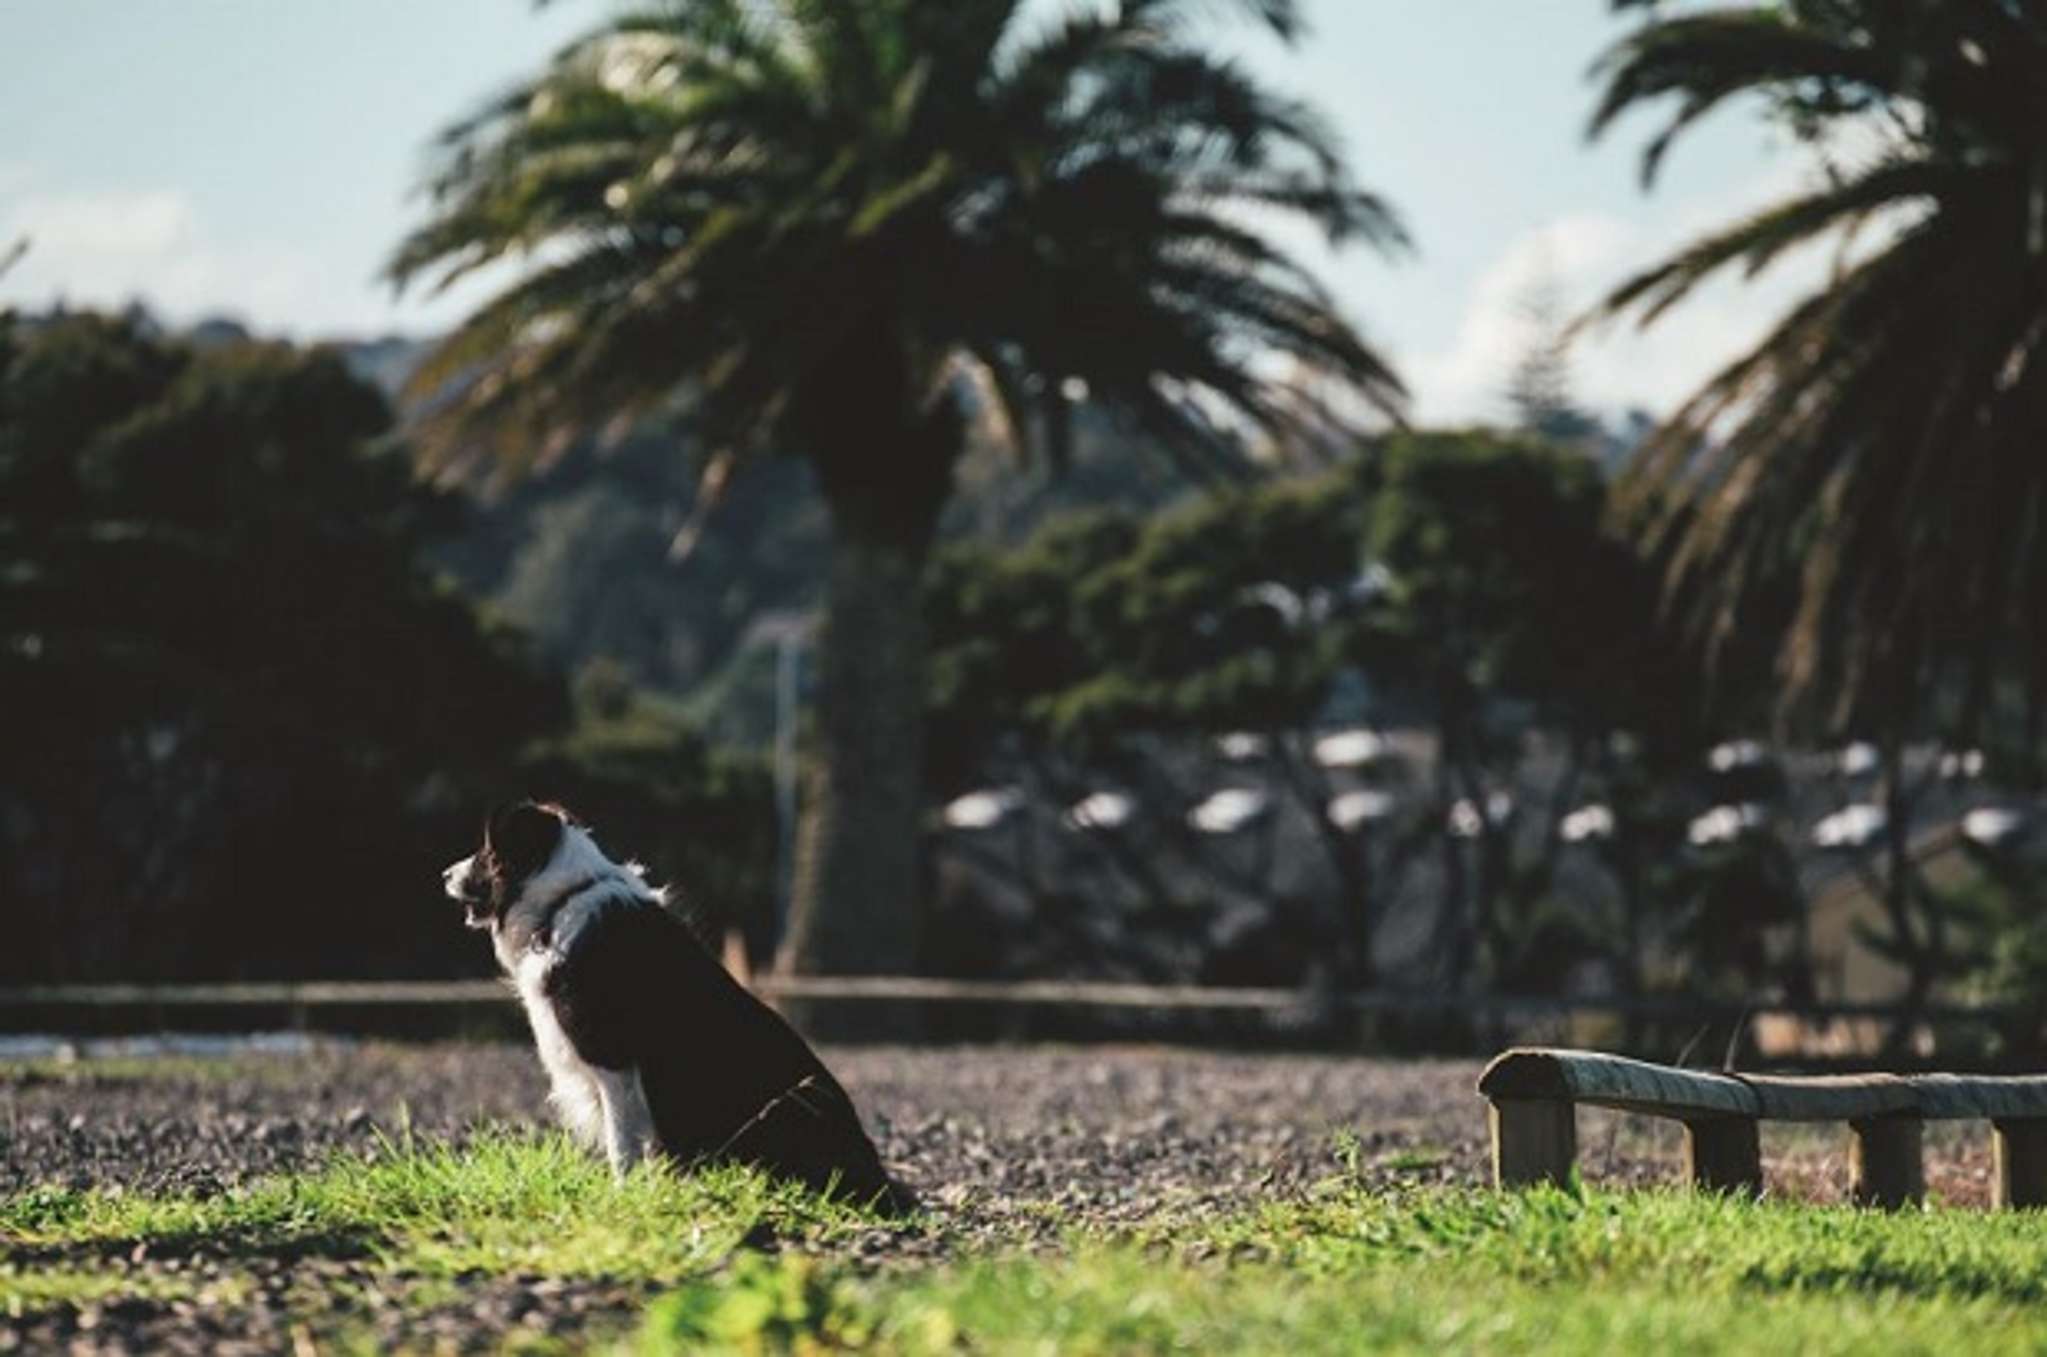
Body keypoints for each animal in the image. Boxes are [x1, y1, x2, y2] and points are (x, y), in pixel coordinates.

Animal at [448, 802, 912, 1211]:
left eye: (486, 852)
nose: (444, 874)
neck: (562, 898)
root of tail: (875, 1175)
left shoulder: (613, 1061)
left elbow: (622, 1143)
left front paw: (623, 1198)